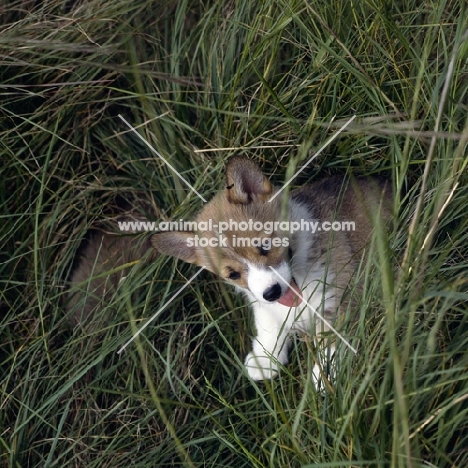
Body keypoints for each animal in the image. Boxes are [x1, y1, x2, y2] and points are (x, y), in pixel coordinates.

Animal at [151, 157, 392, 380]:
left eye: (265, 246)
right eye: (233, 274)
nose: (272, 292)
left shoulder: (339, 296)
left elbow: (331, 341)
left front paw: (325, 376)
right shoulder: (263, 304)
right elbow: (269, 326)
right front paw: (265, 359)